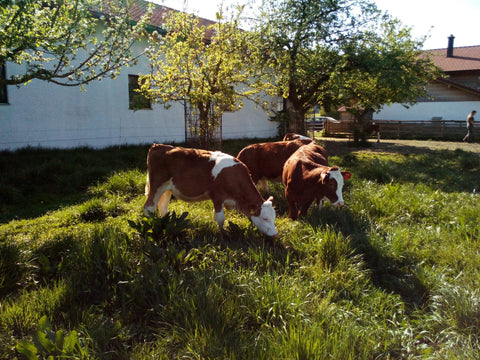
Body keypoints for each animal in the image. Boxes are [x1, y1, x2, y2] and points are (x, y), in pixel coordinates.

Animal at [143, 143, 278, 236]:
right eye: (265, 218)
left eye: (274, 217)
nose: (275, 234)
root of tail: (158, 146)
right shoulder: (217, 196)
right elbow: (221, 218)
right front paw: (223, 234)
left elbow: (216, 216)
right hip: (157, 186)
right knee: (149, 207)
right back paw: (149, 225)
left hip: (167, 189)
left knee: (162, 206)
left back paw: (166, 223)